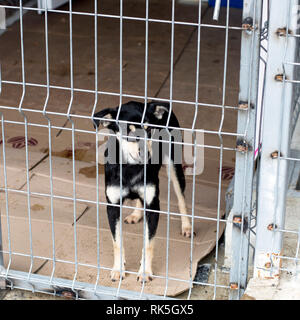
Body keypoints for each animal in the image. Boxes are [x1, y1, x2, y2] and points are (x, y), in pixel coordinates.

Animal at [93, 101, 192, 284]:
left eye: (149, 129)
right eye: (128, 132)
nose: (147, 154)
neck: (131, 168)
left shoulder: (153, 207)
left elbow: (148, 244)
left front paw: (145, 272)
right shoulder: (112, 207)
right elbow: (117, 242)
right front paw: (118, 269)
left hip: (174, 164)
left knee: (181, 197)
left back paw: (187, 226)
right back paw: (136, 214)